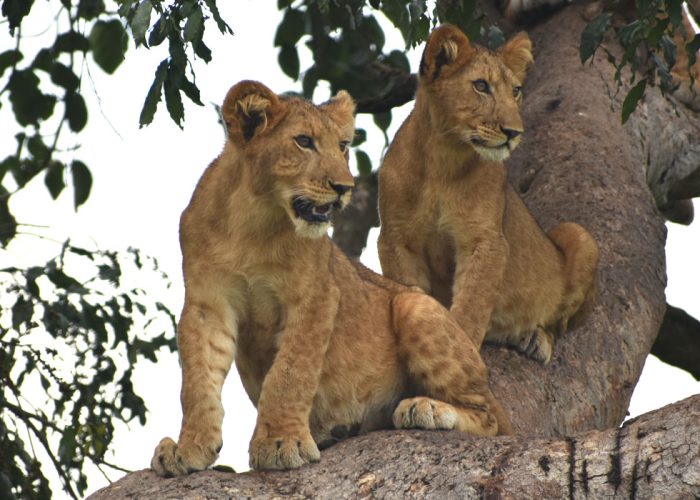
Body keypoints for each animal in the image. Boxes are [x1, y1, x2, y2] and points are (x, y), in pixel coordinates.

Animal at [150, 80, 513, 476]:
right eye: (303, 141)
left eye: (342, 145)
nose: (345, 187)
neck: (252, 219)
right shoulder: (207, 304)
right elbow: (198, 382)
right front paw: (189, 449)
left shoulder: (317, 295)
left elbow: (291, 371)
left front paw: (281, 442)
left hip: (414, 305)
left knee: (493, 418)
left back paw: (427, 408)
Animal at [377, 25, 599, 364]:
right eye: (481, 86)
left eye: (516, 91)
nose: (514, 133)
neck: (442, 160)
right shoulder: (396, 239)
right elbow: (409, 289)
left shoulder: (485, 240)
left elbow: (472, 304)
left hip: (578, 235)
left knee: (558, 325)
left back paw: (535, 338)